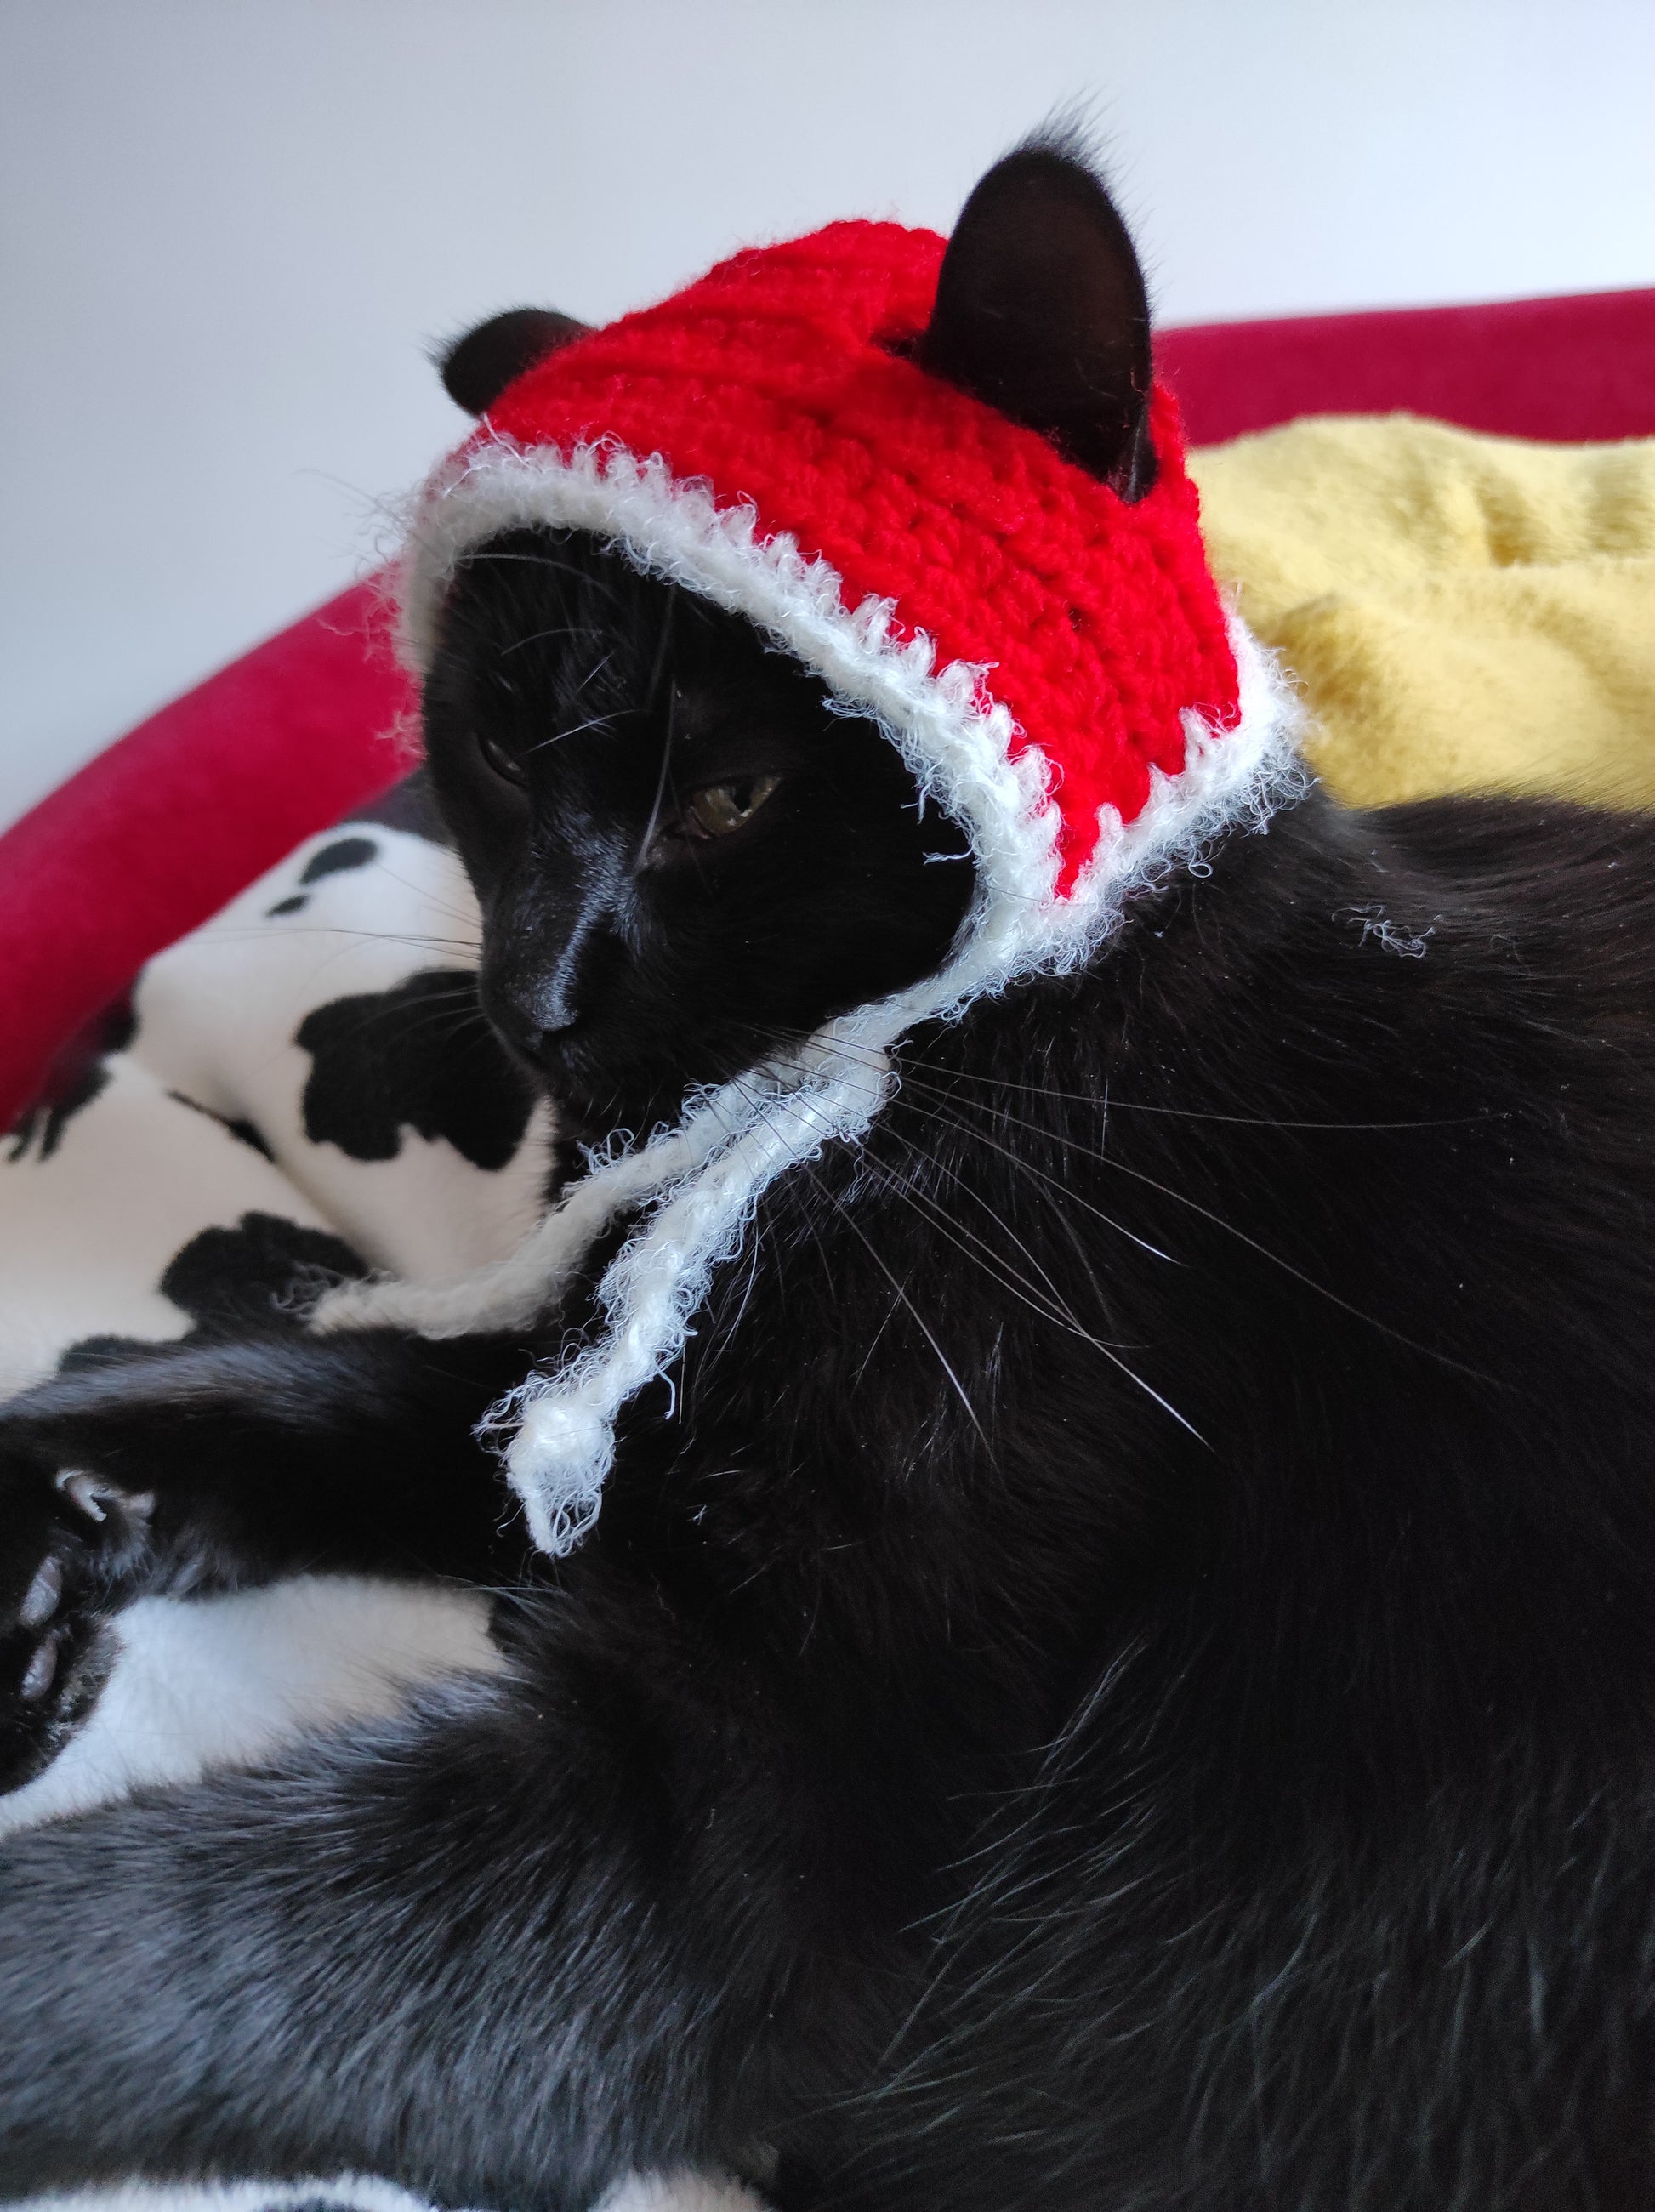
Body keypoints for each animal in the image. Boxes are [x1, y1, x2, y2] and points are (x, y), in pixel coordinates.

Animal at [3, 138, 1655, 2212]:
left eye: (728, 796)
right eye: (489, 751)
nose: (531, 996)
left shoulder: (765, 1807)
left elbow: (187, 1938)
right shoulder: (592, 1404)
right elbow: (284, 1386)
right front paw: (49, 1496)